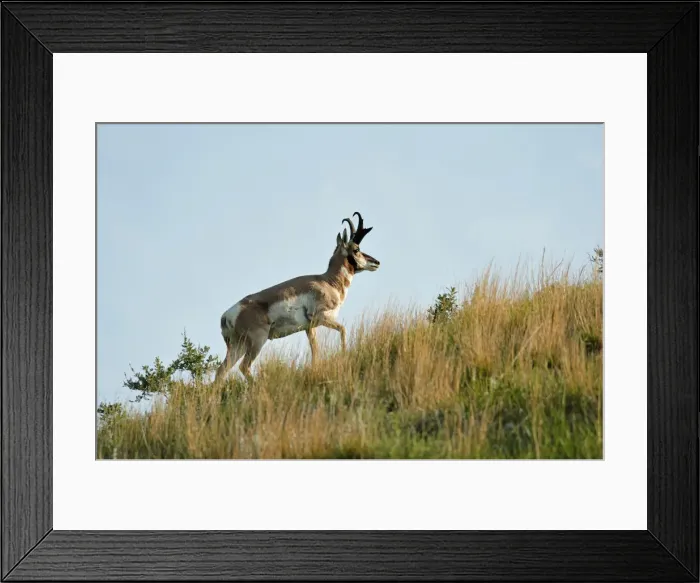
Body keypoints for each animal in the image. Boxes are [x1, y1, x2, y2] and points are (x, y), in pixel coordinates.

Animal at [215, 212, 380, 382]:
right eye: (356, 249)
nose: (376, 262)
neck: (327, 281)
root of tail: (228, 315)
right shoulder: (320, 317)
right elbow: (342, 330)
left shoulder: (309, 328)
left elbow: (315, 351)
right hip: (257, 341)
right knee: (244, 366)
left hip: (238, 346)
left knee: (221, 371)